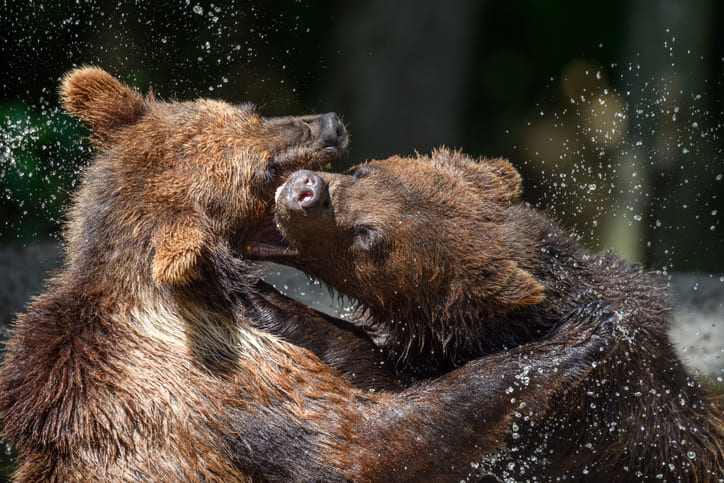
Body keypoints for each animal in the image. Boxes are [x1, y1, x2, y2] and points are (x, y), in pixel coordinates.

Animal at [0, 66, 616, 482]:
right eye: (261, 171)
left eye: (249, 108)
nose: (329, 124)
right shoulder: (213, 384)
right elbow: (363, 441)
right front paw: (571, 340)